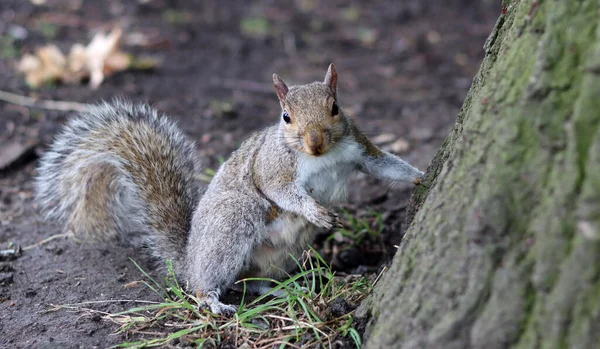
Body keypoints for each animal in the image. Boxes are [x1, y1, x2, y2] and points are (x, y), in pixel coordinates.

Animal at [35, 64, 424, 314]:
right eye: (286, 117)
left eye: (335, 108)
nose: (314, 143)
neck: (322, 158)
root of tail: (189, 259)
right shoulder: (271, 168)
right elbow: (282, 192)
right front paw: (316, 211)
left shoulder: (360, 149)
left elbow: (386, 165)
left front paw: (421, 177)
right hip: (234, 220)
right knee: (211, 282)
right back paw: (212, 299)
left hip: (283, 255)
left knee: (250, 280)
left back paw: (283, 288)